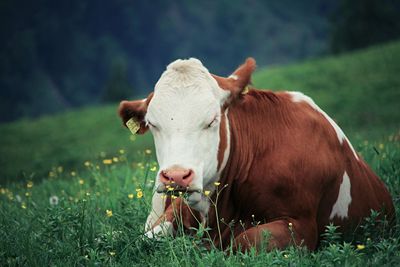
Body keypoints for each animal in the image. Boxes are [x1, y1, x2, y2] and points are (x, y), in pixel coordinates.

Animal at [117, 57, 396, 252]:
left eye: (211, 120)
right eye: (153, 124)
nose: (176, 176)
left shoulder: (301, 226)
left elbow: (244, 241)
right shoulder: (175, 213)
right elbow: (144, 239)